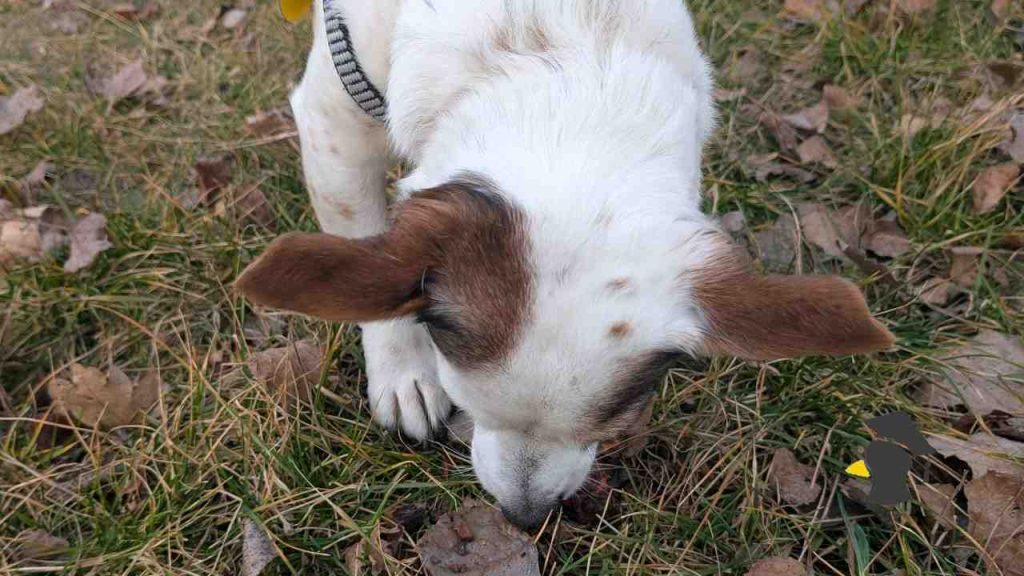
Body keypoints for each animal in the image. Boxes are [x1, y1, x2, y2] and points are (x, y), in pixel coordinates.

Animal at [235, 0, 892, 528]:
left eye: (613, 421)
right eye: (469, 404)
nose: (525, 518)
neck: (555, 48)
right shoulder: (334, 126)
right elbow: (373, 263)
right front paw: (403, 372)